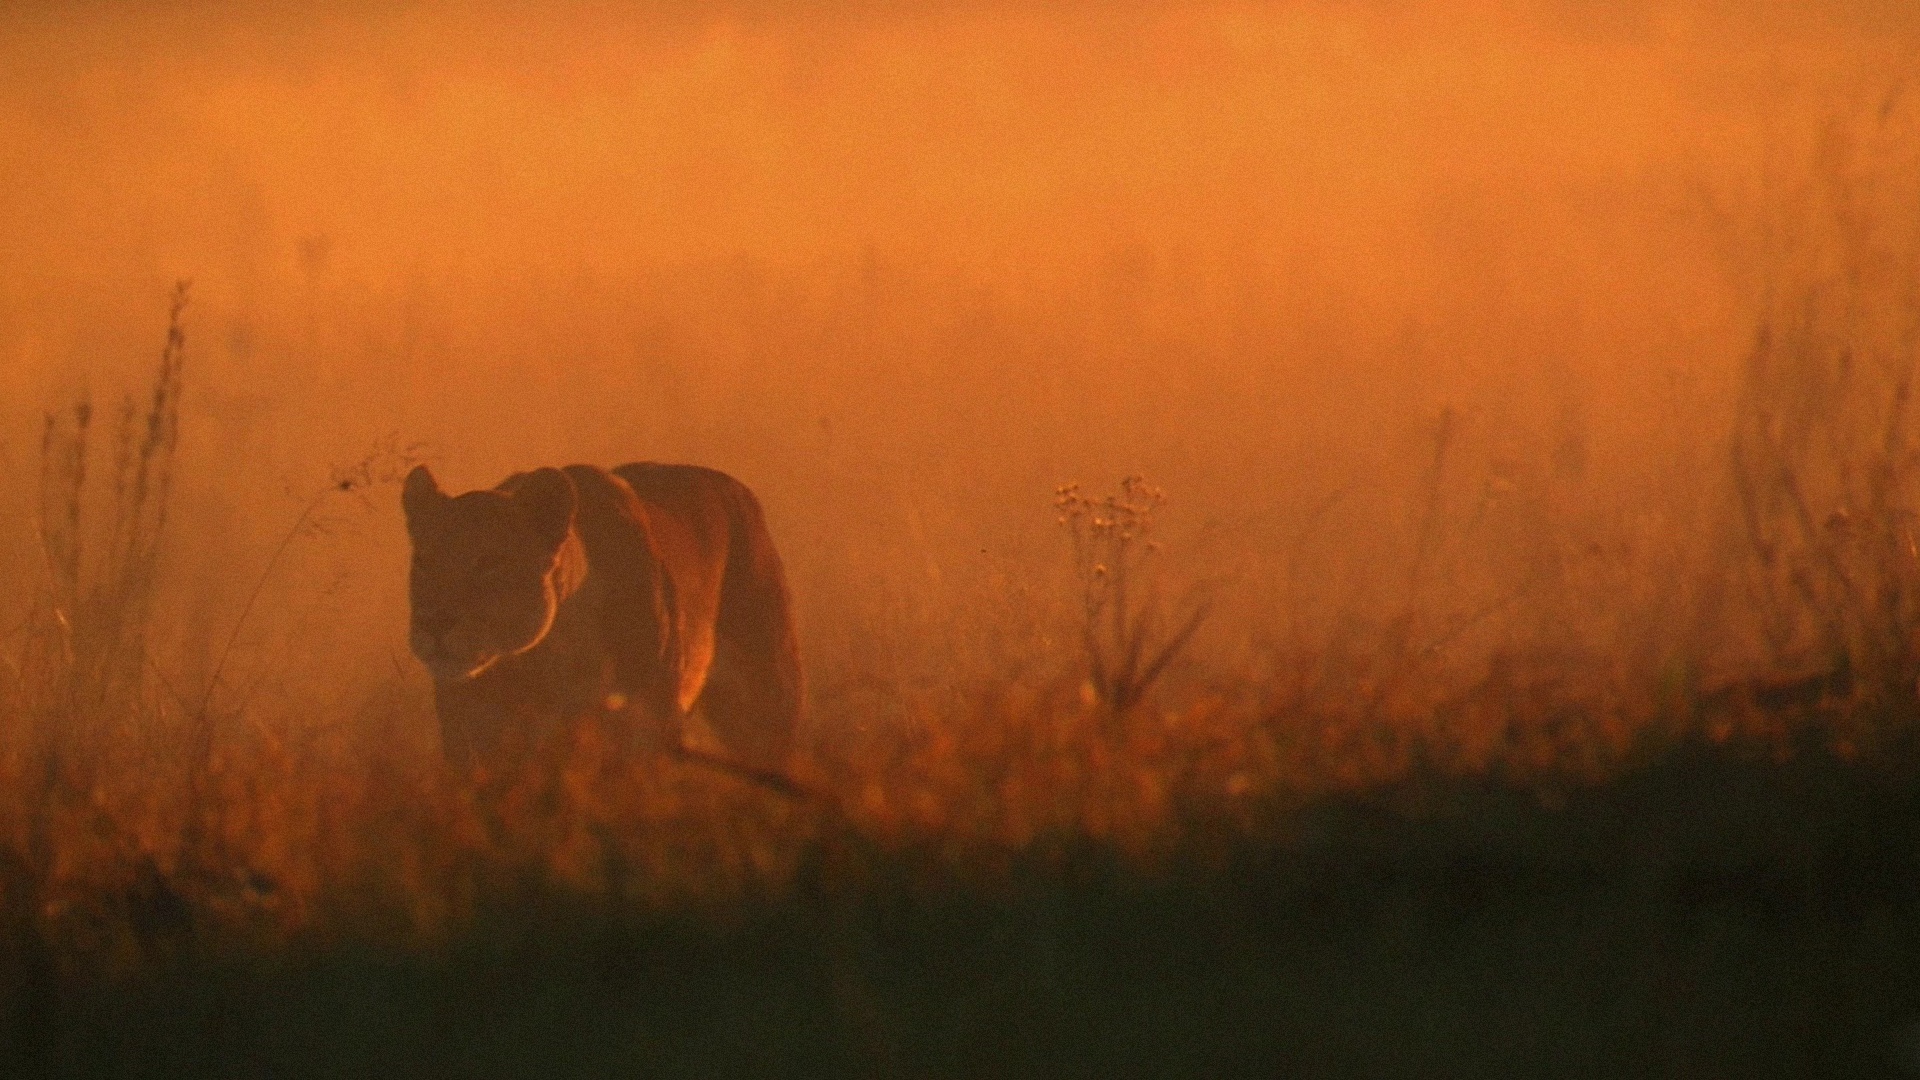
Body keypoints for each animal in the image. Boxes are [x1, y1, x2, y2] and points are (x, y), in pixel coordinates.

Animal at [401, 462, 802, 774]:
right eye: (423, 562)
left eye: (489, 563)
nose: (434, 624)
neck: (544, 658)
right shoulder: (472, 736)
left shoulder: (648, 723)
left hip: (765, 696)